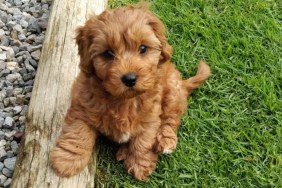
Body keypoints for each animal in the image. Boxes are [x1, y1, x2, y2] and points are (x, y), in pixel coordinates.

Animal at [50, 3, 209, 181]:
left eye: (143, 48)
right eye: (108, 53)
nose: (130, 79)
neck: (124, 100)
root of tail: (183, 84)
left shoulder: (150, 118)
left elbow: (143, 141)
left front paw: (140, 164)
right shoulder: (82, 107)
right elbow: (77, 133)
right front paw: (66, 161)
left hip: (172, 91)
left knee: (171, 119)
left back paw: (165, 141)